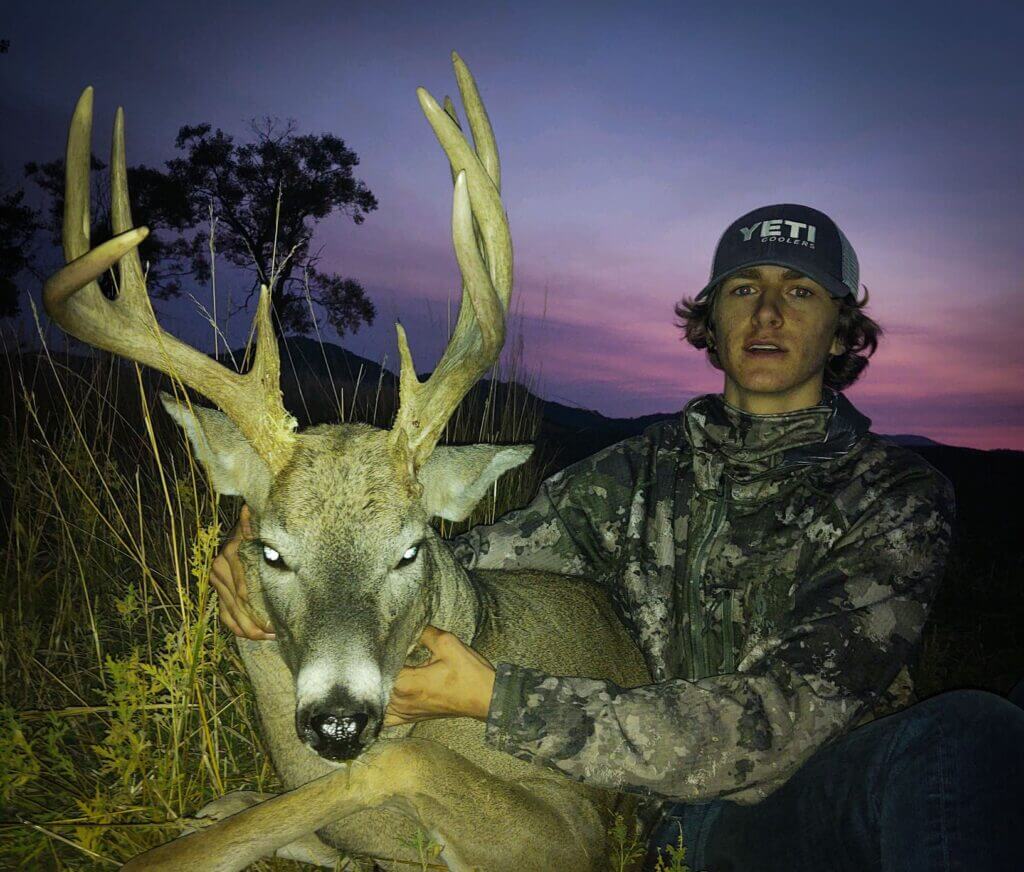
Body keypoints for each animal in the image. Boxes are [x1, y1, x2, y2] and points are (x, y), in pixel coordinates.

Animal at [43, 53, 652, 871]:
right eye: (270, 551)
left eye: (411, 549)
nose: (338, 720)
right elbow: (260, 813)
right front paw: (221, 816)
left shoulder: (576, 822)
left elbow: (390, 765)